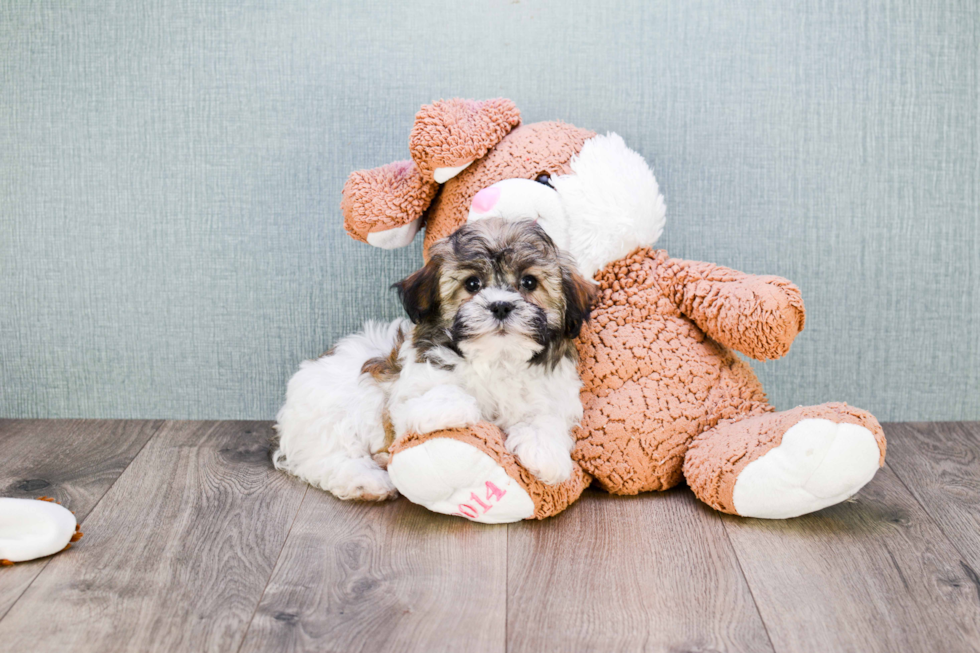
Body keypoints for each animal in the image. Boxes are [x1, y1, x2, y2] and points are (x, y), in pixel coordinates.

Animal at [276, 218, 596, 500]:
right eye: (472, 284)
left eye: (529, 282)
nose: (501, 306)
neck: (497, 358)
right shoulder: (407, 397)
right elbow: (444, 396)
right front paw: (463, 408)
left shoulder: (552, 393)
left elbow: (546, 417)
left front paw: (546, 455)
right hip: (337, 412)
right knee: (327, 458)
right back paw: (366, 482)